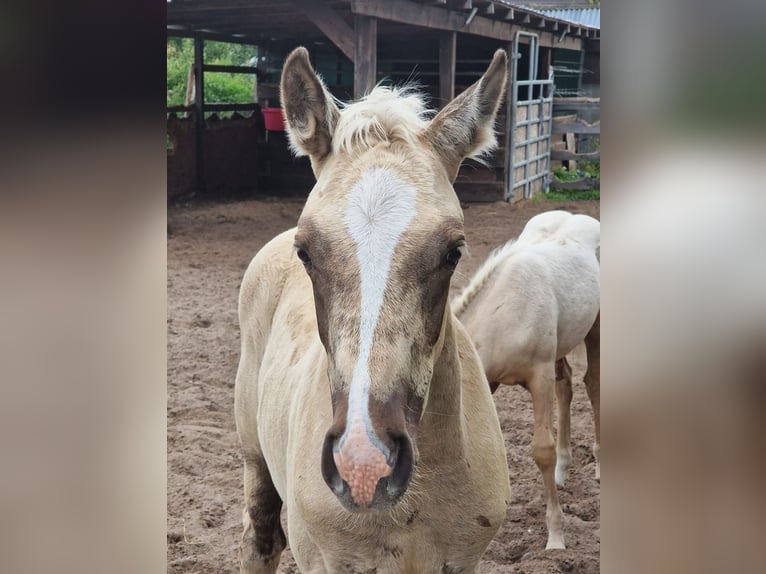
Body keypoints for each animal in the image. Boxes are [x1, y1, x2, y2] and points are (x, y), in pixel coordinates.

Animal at [452, 209, 604, 552]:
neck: (504, 313)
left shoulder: (539, 377)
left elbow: (542, 451)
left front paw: (556, 538)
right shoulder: (490, 383)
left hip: (595, 331)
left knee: (594, 386)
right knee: (567, 386)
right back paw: (563, 469)